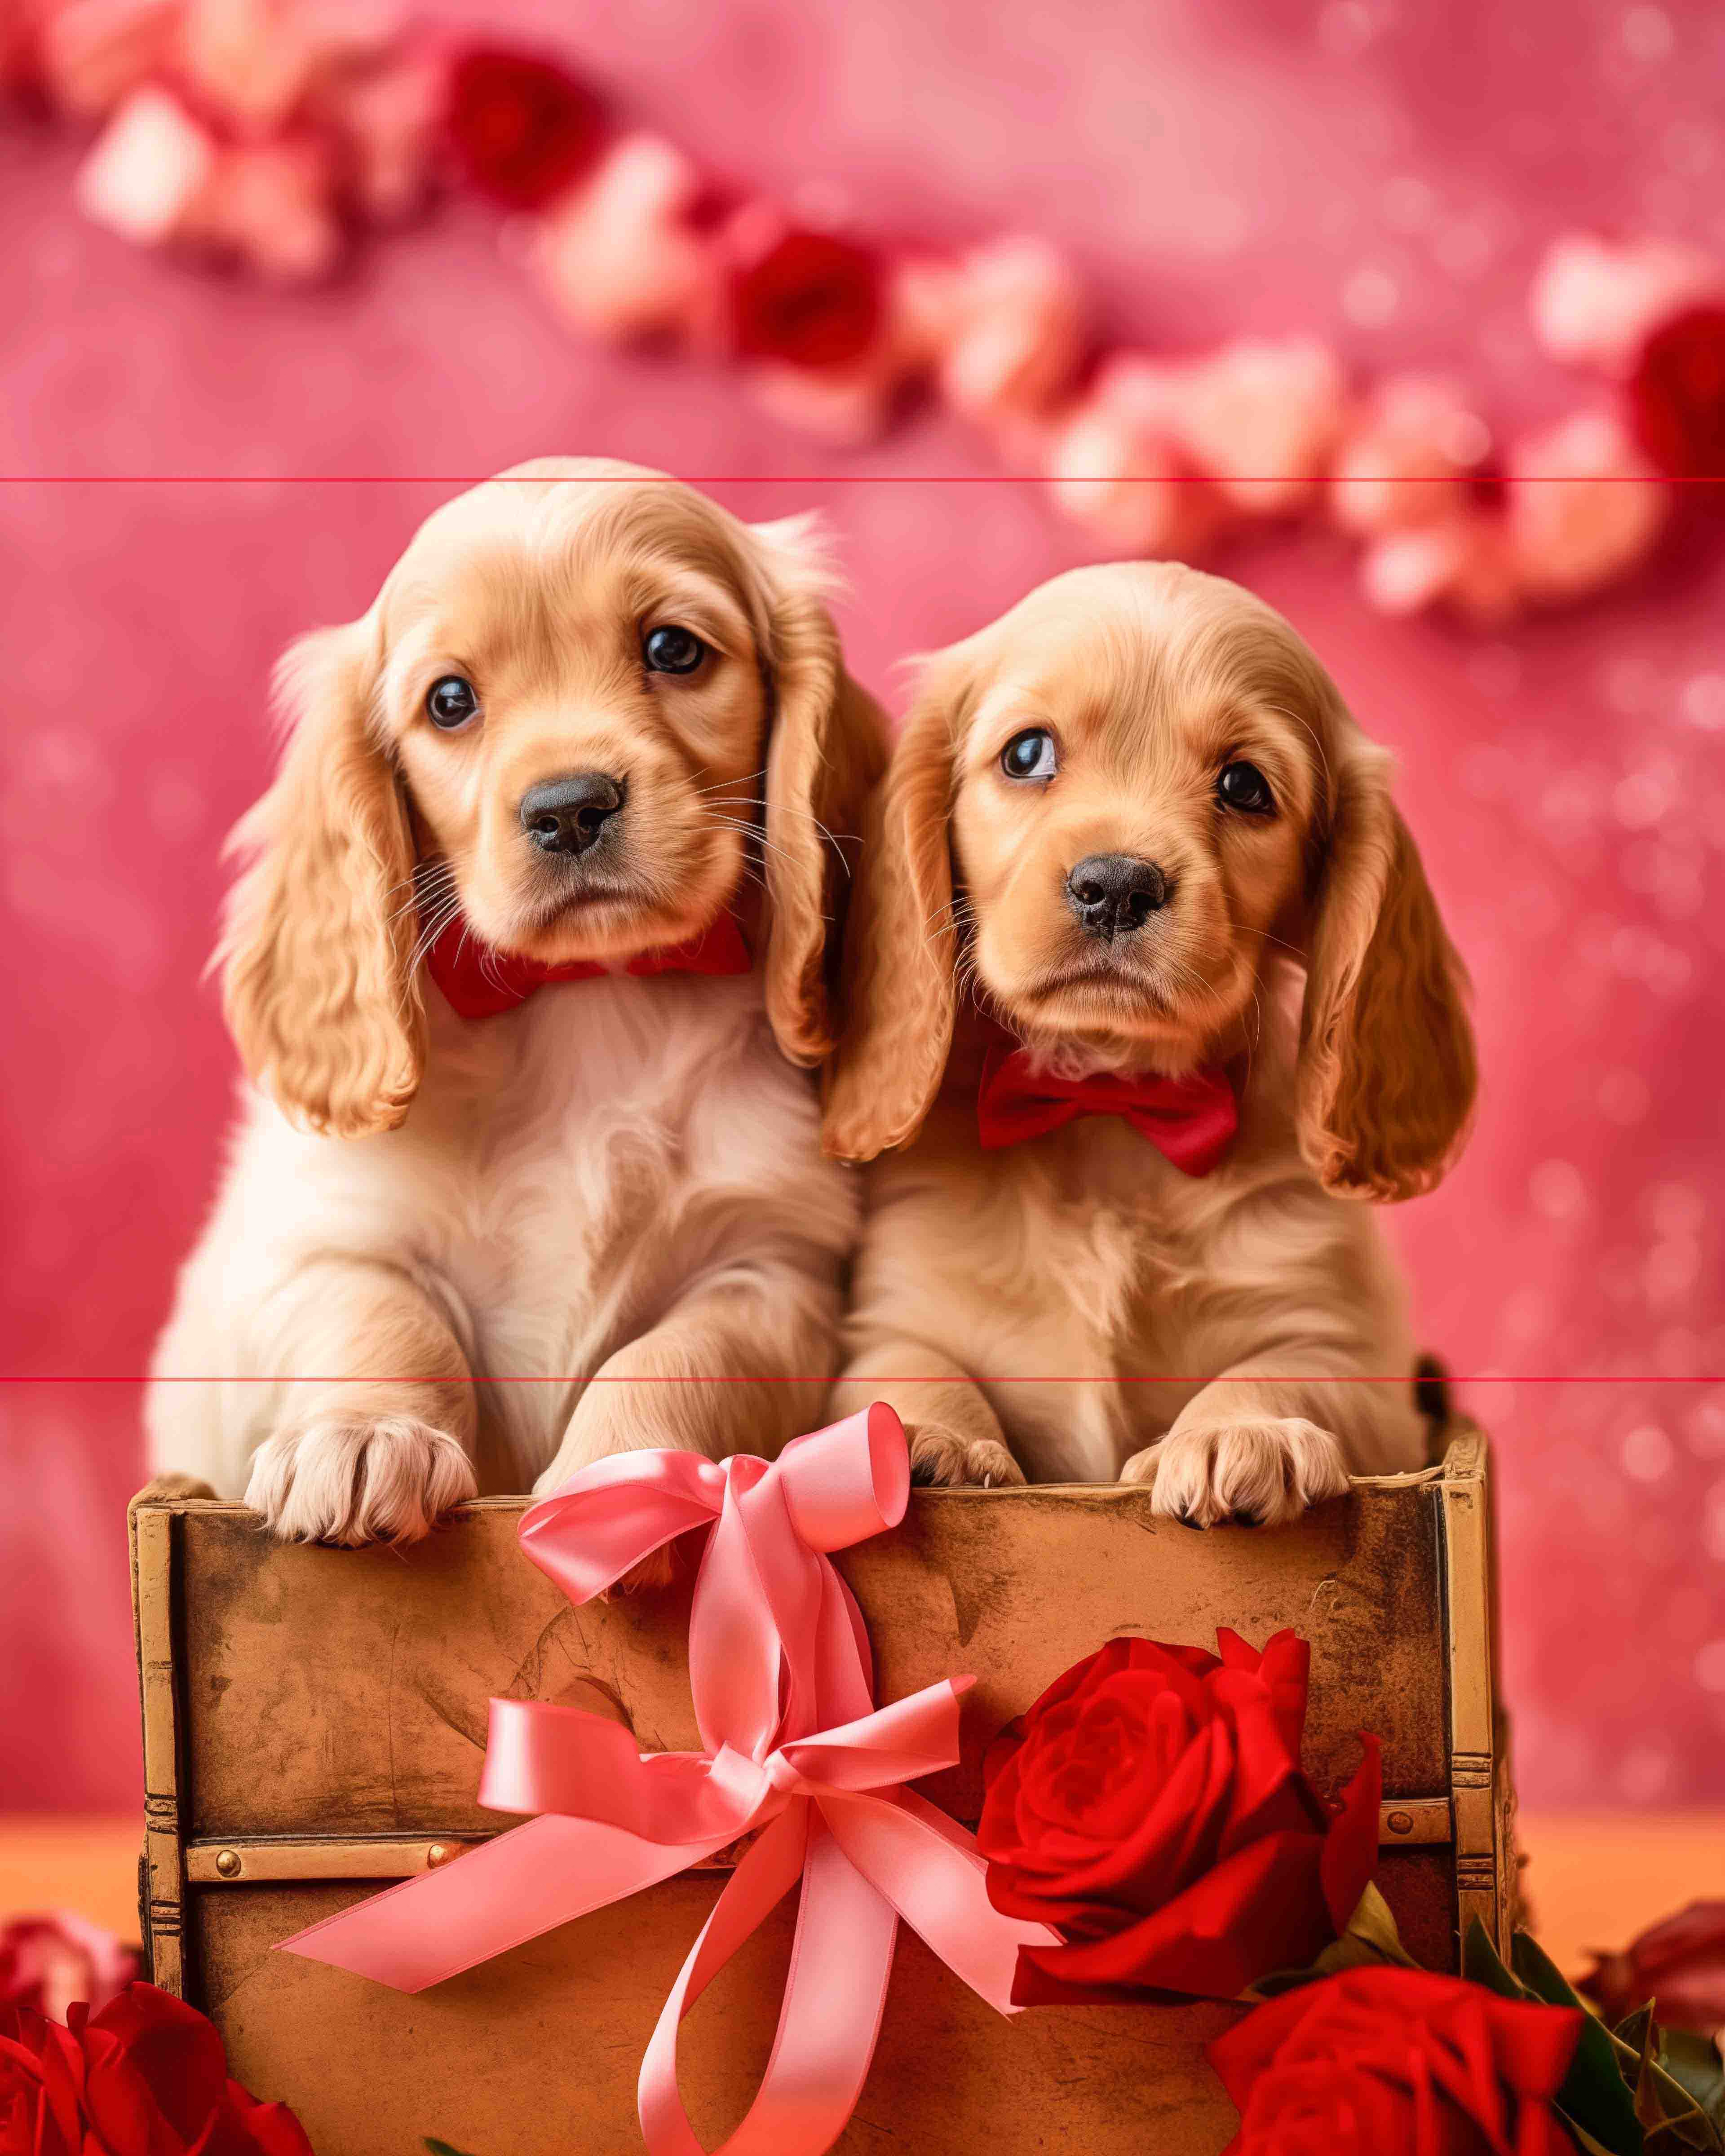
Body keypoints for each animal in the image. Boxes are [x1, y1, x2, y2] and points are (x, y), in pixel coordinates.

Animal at [144, 455, 888, 1543]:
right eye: (450, 701)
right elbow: (380, 1315)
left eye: (673, 648)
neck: (591, 1000)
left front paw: (620, 1486)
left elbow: (674, 1357)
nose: (569, 807)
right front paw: (365, 1437)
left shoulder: (773, 1269)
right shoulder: (317, 1238)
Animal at [828, 565, 1475, 1526]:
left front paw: (1240, 1433)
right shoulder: (898, 1311)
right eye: (1027, 754)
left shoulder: (1352, 1356)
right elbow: (906, 1369)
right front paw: (918, 1437)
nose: (1117, 885)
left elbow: (1286, 1371)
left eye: (1245, 785)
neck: (1111, 1099)